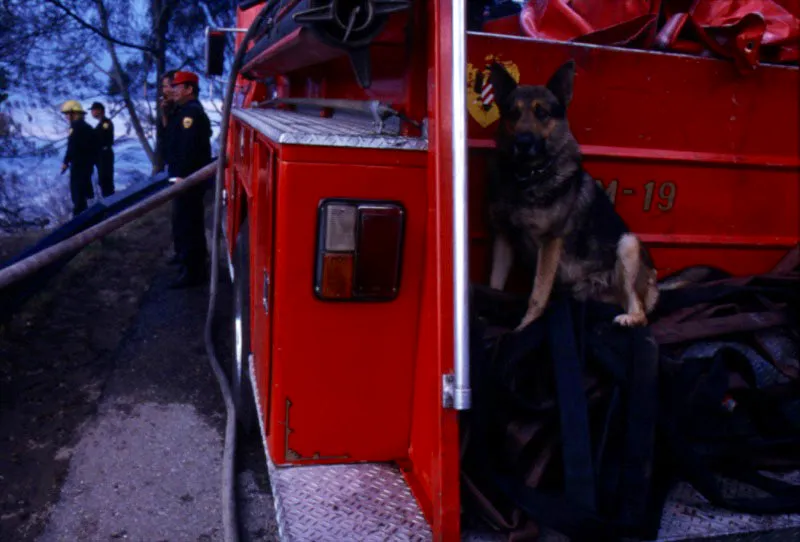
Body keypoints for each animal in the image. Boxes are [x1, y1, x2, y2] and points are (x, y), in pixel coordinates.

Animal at [488, 59, 656, 332]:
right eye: (513, 113)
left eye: (542, 113)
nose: (523, 142)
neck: (528, 176)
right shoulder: (503, 236)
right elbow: (495, 282)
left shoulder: (550, 241)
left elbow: (537, 295)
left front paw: (526, 328)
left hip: (628, 243)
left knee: (642, 313)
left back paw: (629, 318)